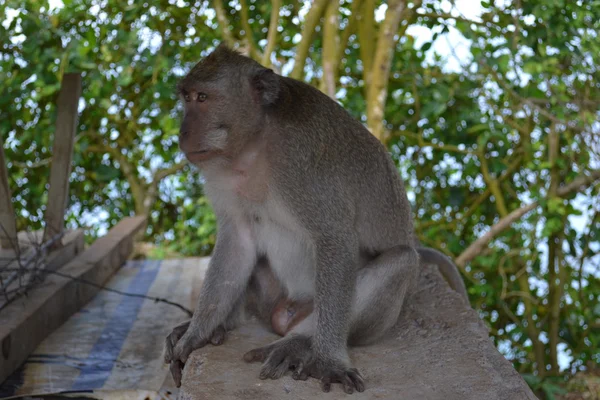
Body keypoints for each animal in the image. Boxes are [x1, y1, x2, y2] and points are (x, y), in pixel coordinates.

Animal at [164, 43, 468, 394]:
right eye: (186, 98)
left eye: (202, 98)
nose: (183, 132)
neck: (255, 143)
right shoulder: (220, 173)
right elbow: (238, 240)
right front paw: (196, 333)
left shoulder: (303, 165)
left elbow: (335, 239)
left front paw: (329, 361)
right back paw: (226, 323)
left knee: (401, 260)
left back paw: (300, 343)